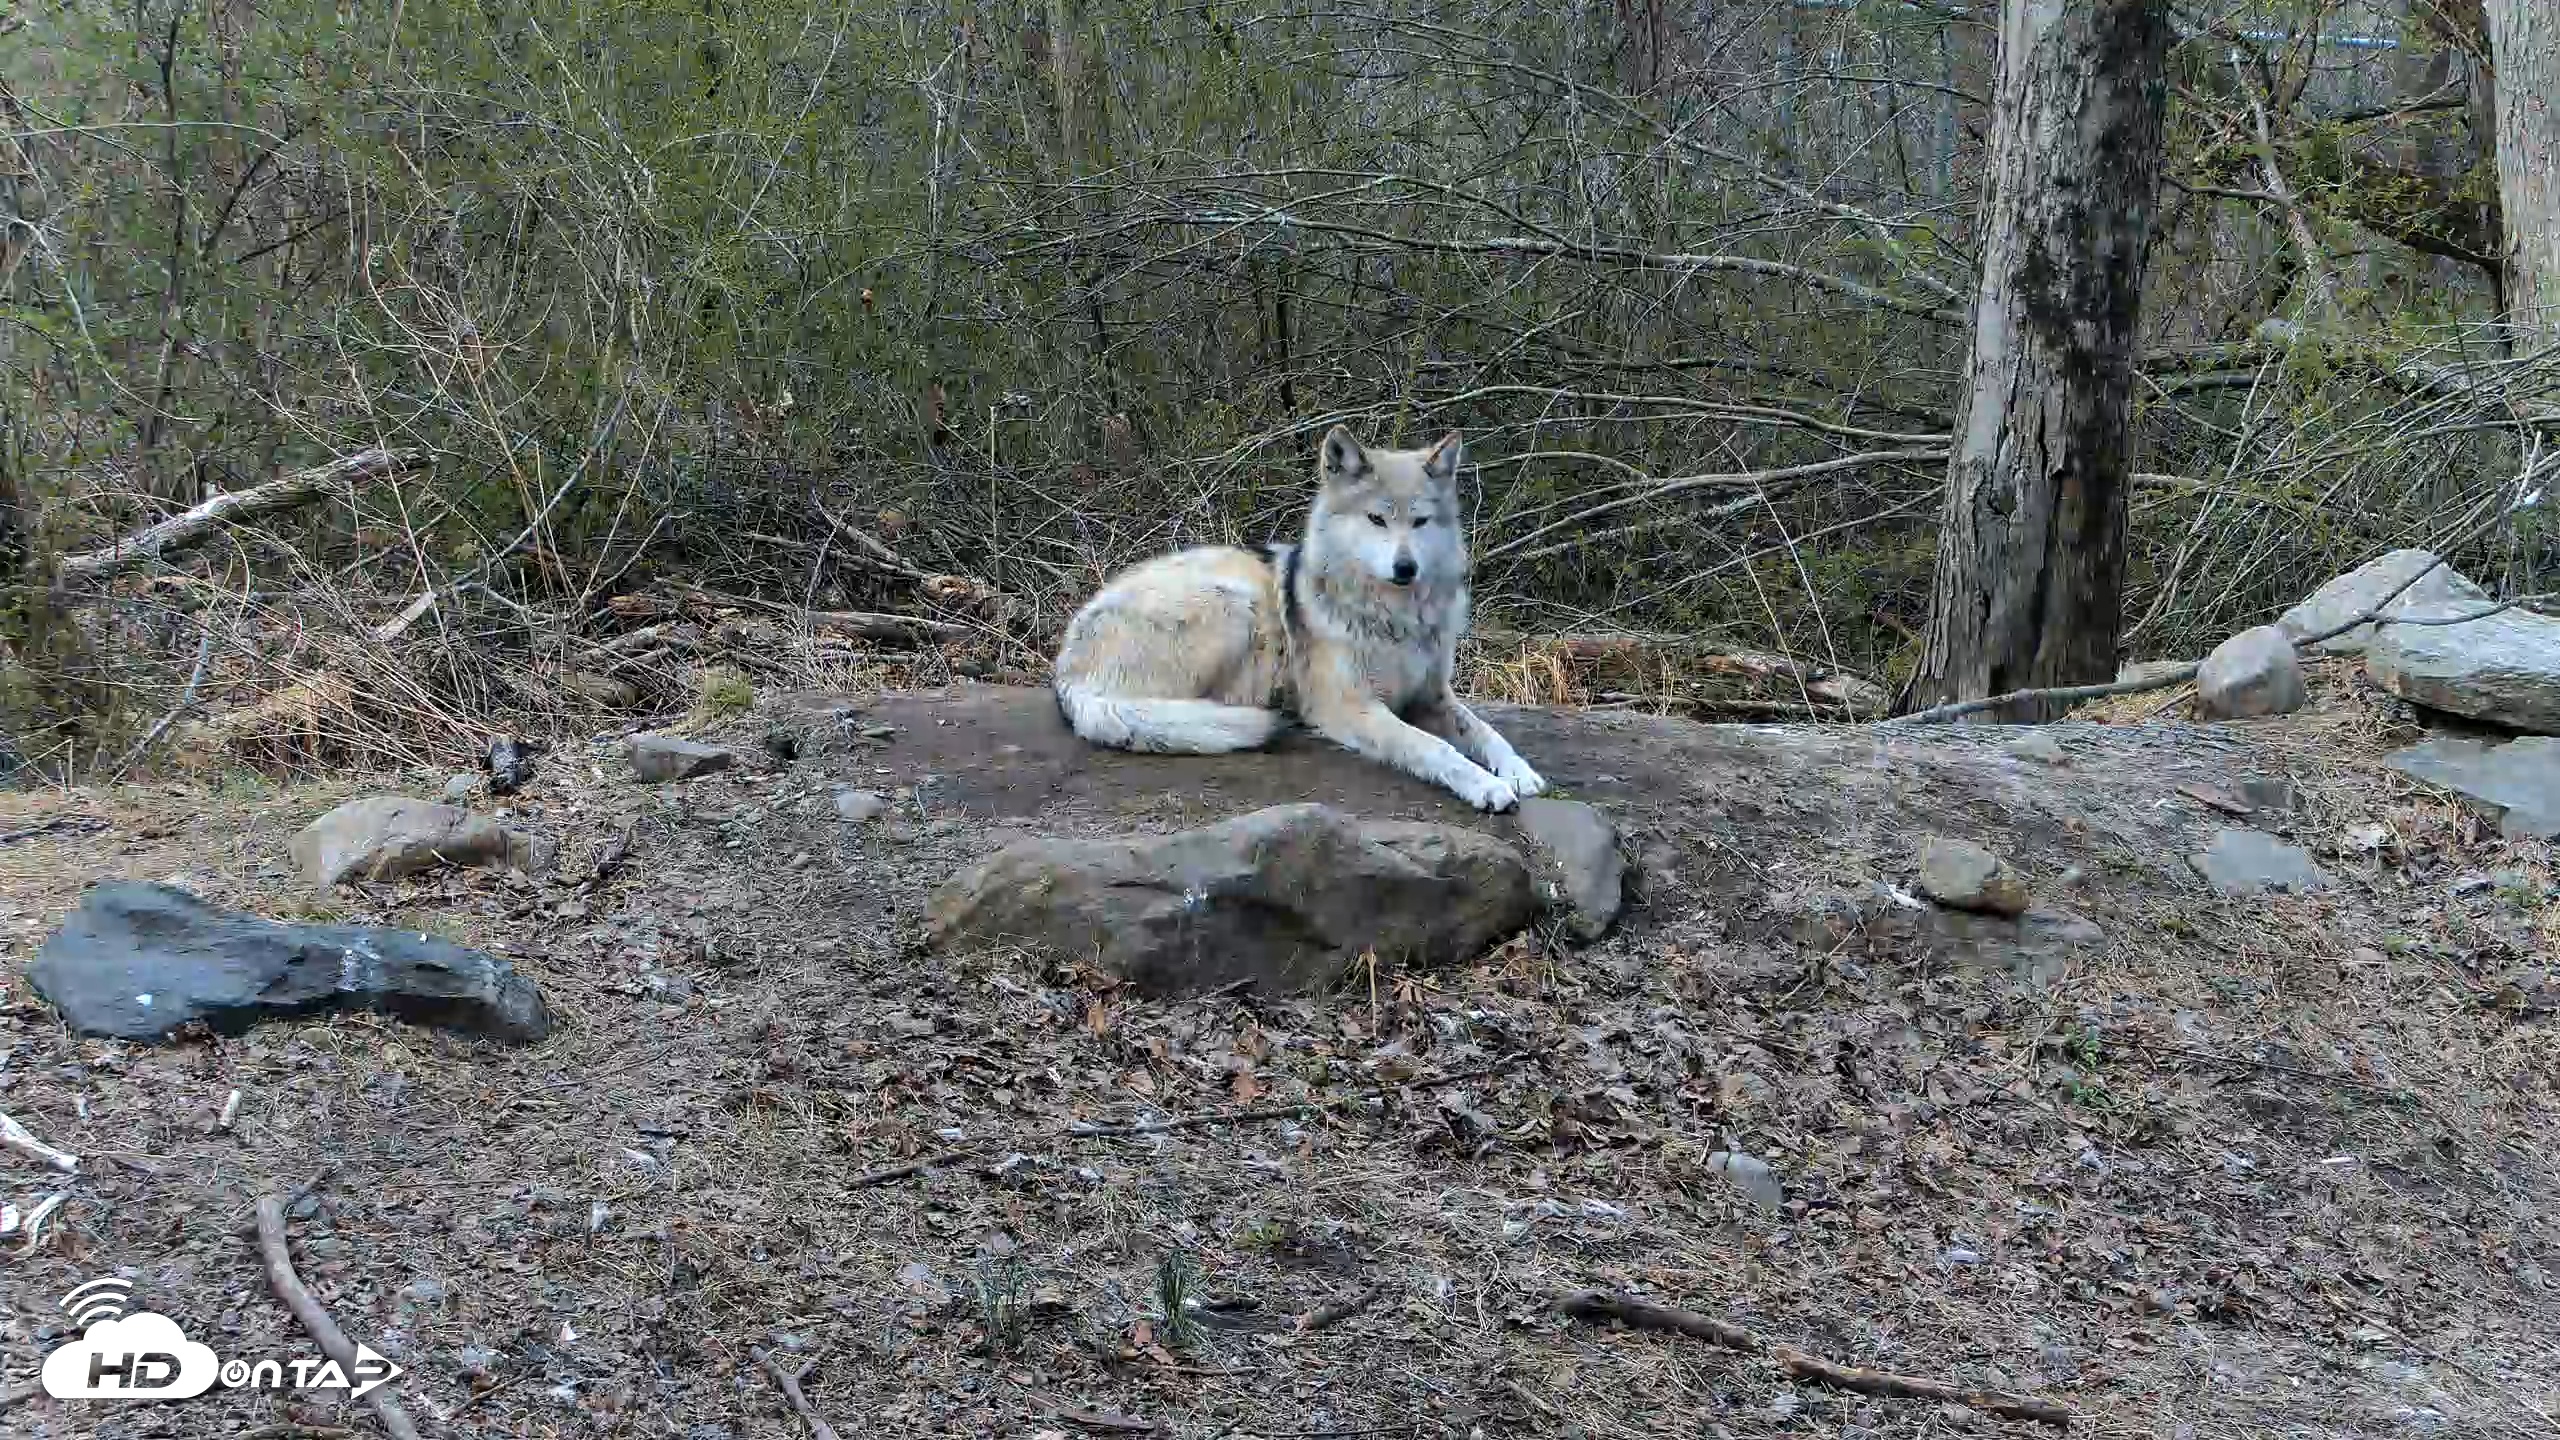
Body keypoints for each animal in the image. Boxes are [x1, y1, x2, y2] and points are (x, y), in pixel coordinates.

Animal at [1050, 425, 1547, 812]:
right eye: (1377, 520)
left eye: (1420, 521)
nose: (1406, 568)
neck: (1393, 617)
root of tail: (1066, 675)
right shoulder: (1351, 706)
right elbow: (1434, 747)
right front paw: (1486, 786)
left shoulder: (1433, 696)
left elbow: (1485, 732)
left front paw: (1519, 771)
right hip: (1236, 606)